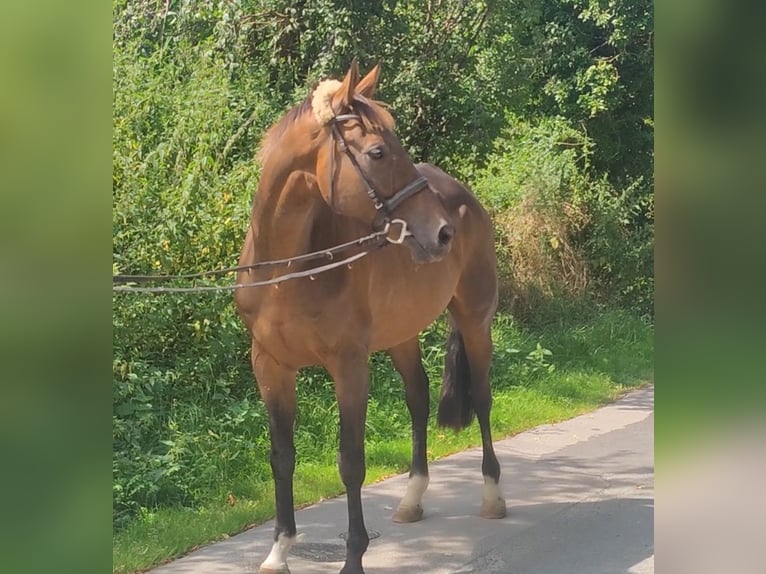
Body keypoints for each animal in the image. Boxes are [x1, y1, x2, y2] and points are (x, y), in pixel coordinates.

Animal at [236, 59, 510, 574]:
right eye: (378, 151)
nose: (441, 232)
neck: (289, 269)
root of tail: (462, 196)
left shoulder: (349, 366)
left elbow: (351, 462)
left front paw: (353, 557)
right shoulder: (269, 365)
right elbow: (281, 456)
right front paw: (279, 551)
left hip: (474, 319)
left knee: (483, 399)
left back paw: (492, 496)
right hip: (402, 334)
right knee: (418, 398)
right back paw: (412, 499)